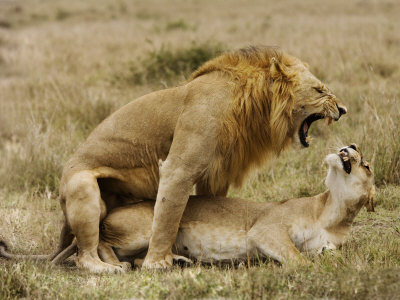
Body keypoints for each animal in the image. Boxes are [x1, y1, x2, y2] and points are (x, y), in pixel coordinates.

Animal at [47, 45, 346, 274]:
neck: (254, 104)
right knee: (85, 253)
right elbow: (167, 218)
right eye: (320, 91)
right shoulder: (178, 168)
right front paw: (157, 263)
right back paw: (108, 267)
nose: (343, 109)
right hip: (83, 187)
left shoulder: (217, 173)